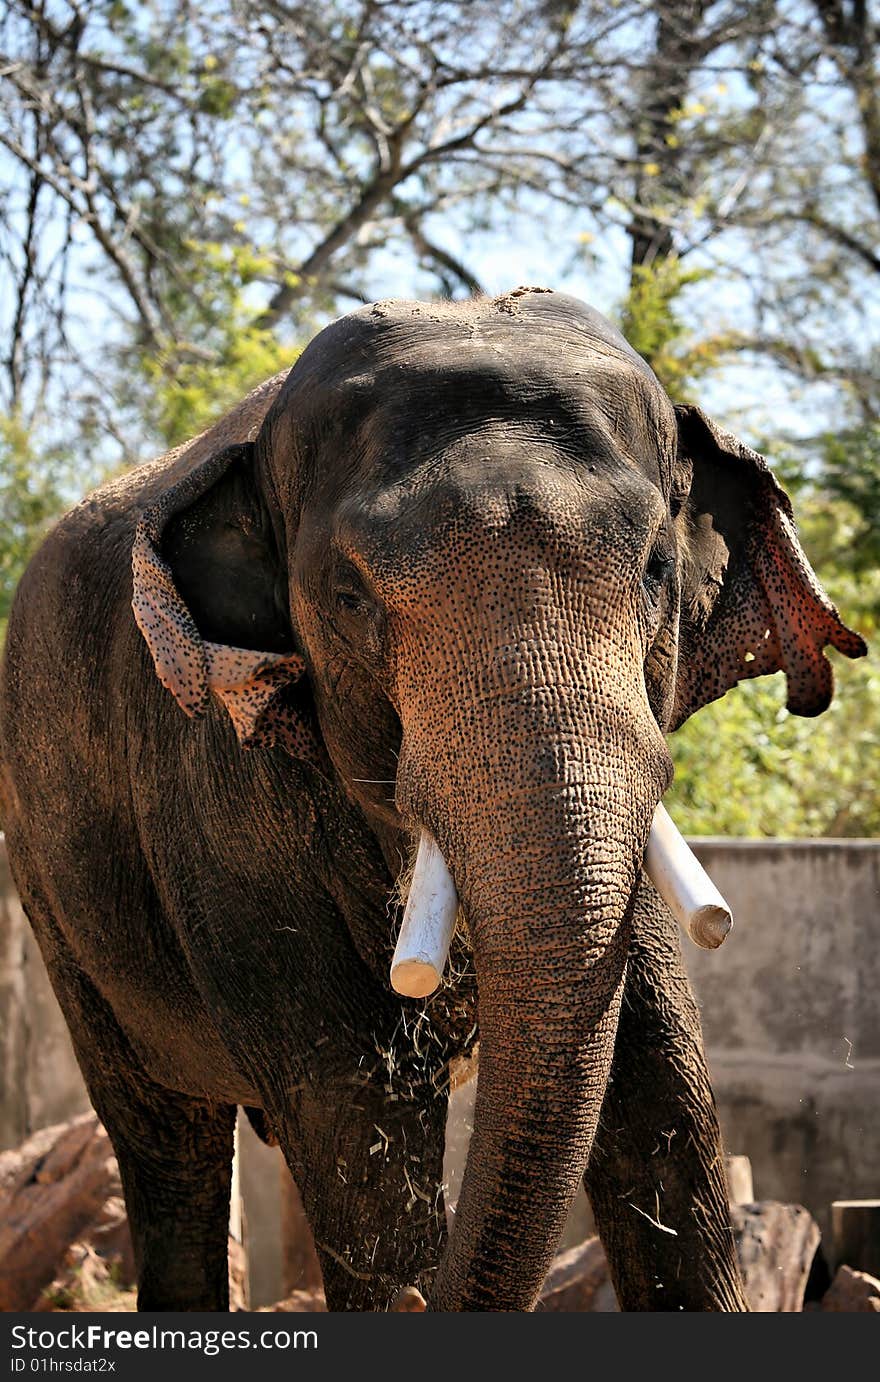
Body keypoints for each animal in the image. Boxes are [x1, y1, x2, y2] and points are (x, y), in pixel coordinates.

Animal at [0, 286, 867, 1310]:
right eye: (349, 598)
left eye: (658, 568)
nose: (421, 1299)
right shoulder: (220, 794)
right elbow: (354, 1121)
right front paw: (399, 1268)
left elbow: (661, 1087)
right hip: (53, 904)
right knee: (167, 1142)